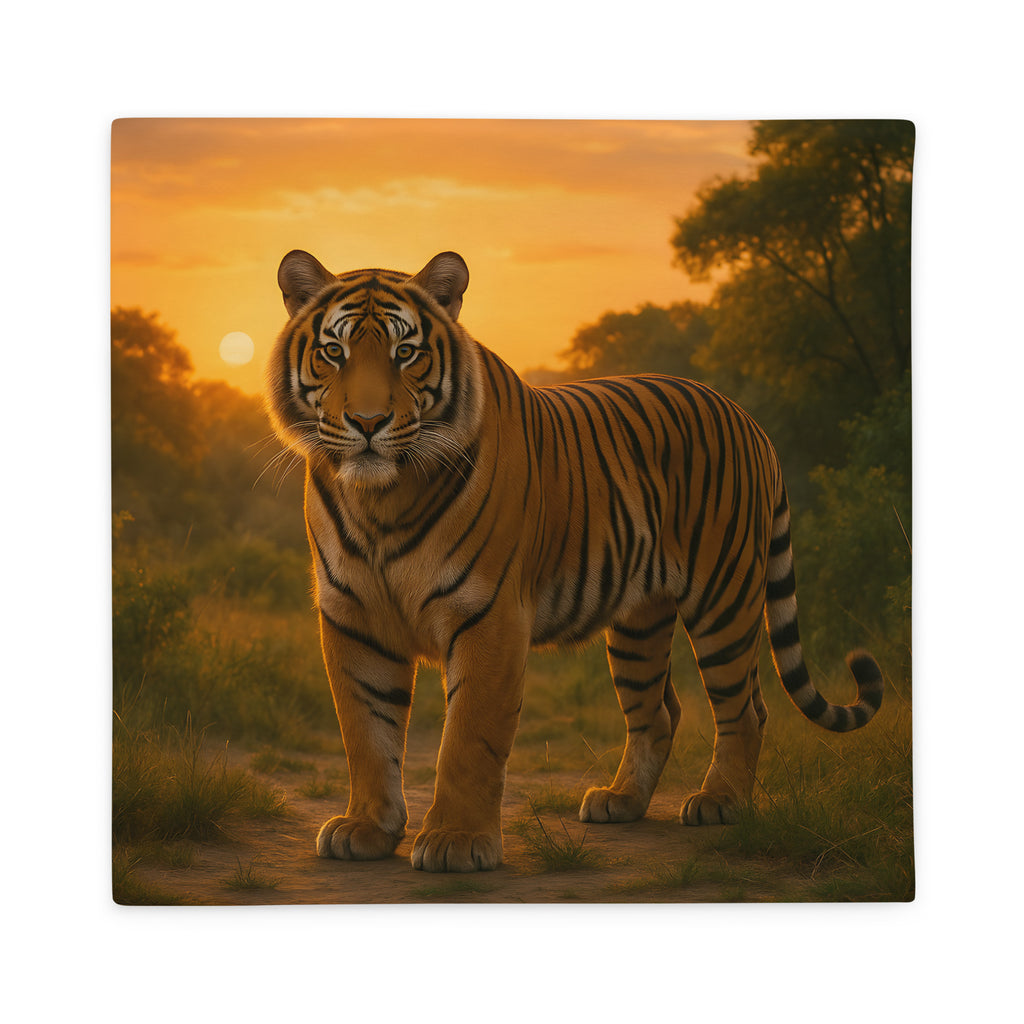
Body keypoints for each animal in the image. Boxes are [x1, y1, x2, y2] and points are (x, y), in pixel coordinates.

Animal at [265, 248, 884, 873]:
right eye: (334, 352)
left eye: (406, 353)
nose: (368, 424)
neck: (380, 499)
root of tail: (748, 418)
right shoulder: (353, 617)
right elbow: (367, 732)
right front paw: (366, 828)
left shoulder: (488, 615)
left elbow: (467, 739)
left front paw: (457, 841)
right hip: (639, 623)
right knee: (658, 712)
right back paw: (620, 801)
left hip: (724, 599)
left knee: (746, 708)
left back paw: (720, 802)